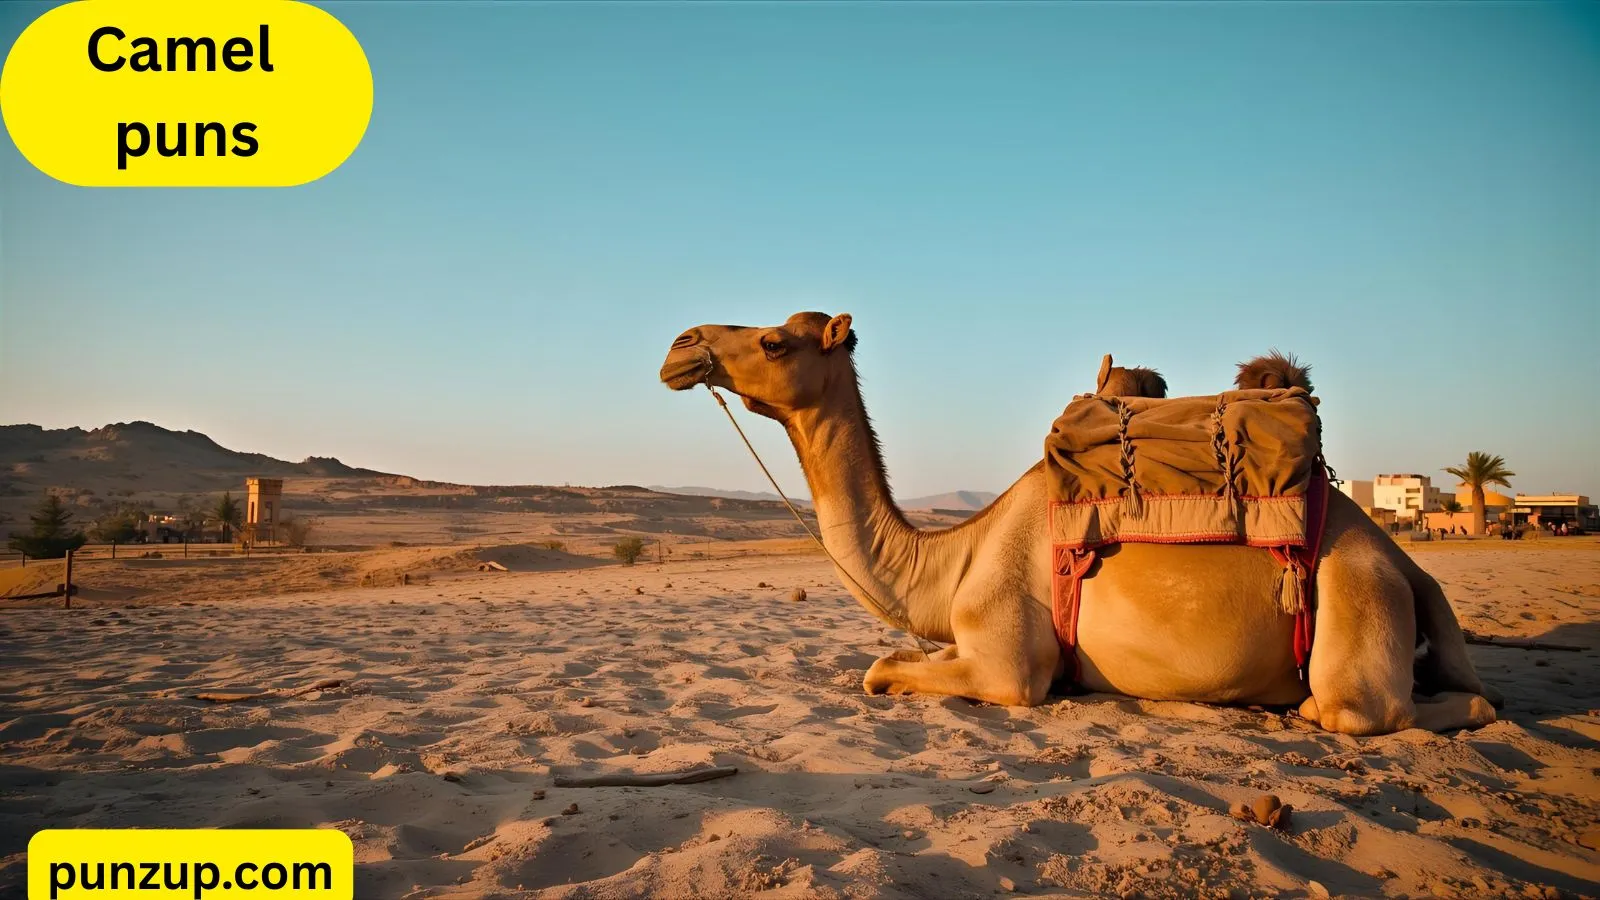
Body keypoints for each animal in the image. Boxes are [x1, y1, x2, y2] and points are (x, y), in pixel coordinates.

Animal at [659, 312, 1498, 735]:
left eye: (774, 340)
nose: (682, 345)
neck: (957, 559)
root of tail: (1403, 561)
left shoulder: (1008, 666)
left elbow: (879, 671)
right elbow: (887, 661)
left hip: (1354, 602)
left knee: (1371, 707)